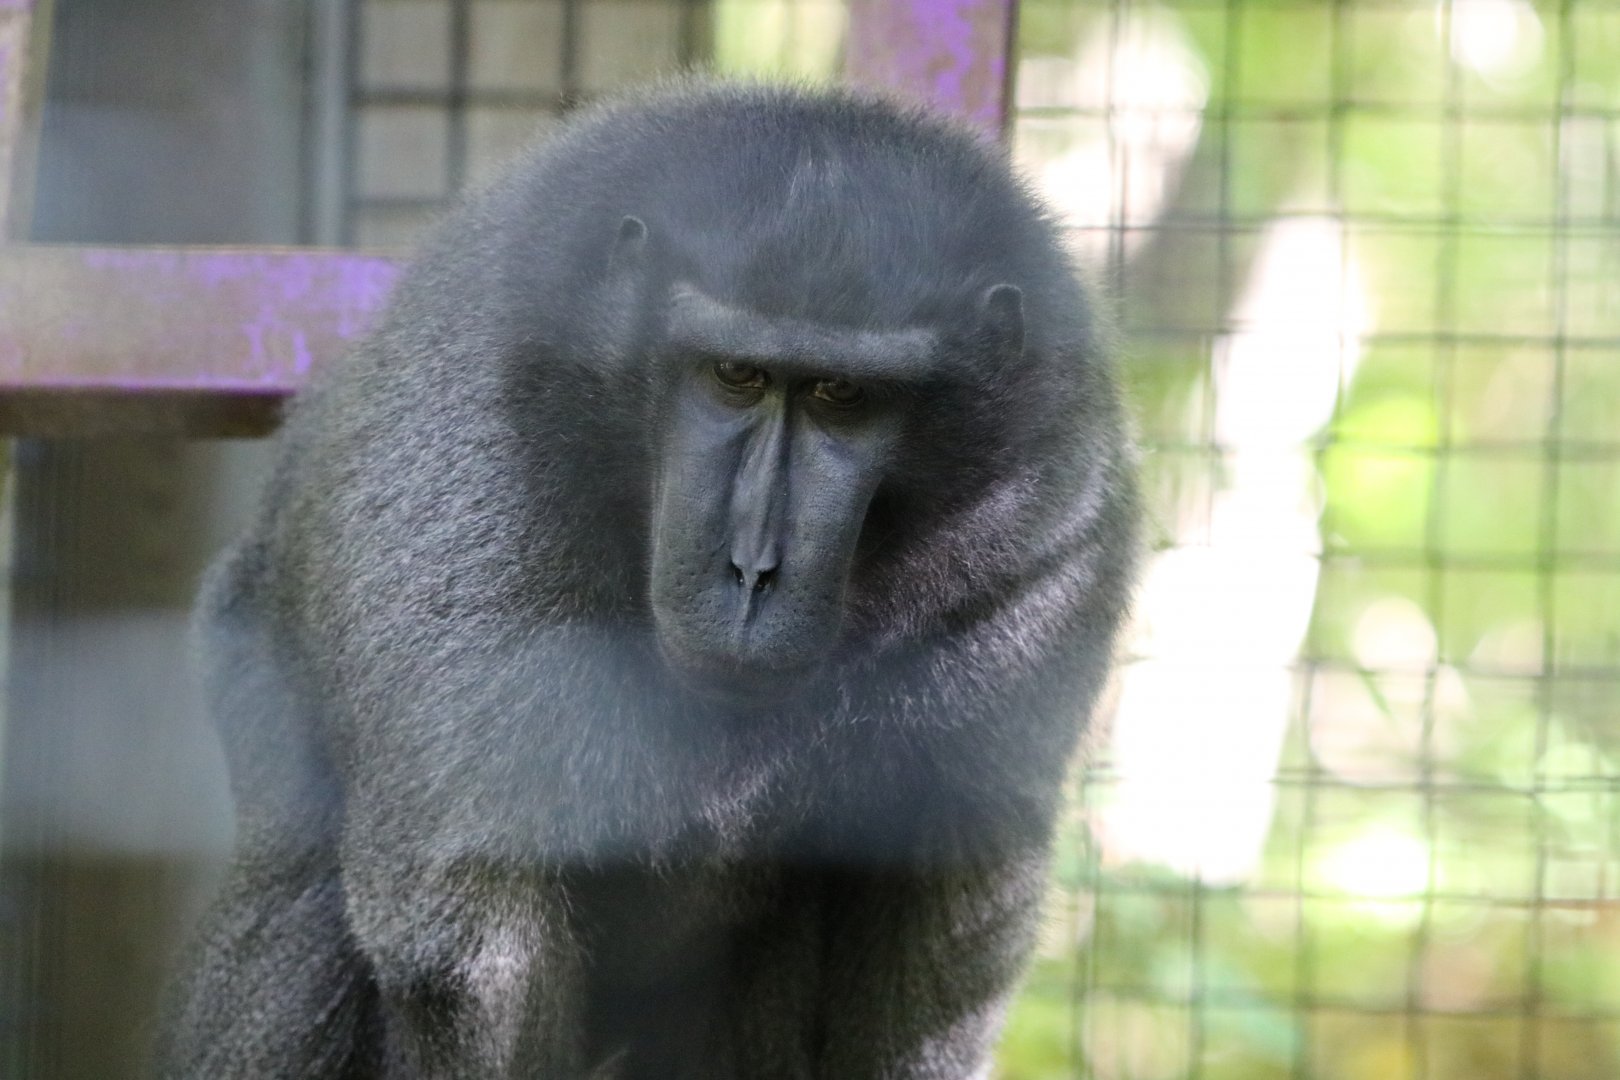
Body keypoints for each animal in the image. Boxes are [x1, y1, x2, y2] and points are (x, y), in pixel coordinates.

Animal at [156, 80, 1138, 1080]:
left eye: (843, 396)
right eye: (735, 375)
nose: (753, 571)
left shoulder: (1053, 514)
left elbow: (940, 925)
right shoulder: (476, 456)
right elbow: (462, 940)